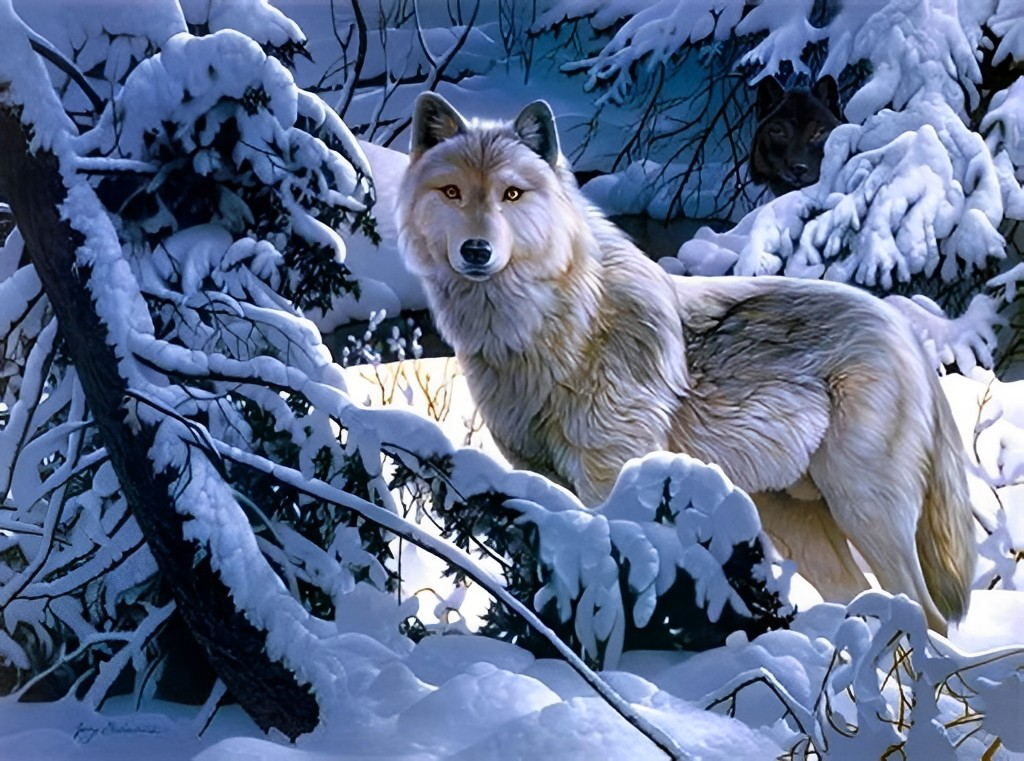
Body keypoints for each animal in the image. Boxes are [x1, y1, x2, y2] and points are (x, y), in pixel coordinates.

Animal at [396, 93, 976, 634]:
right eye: (452, 192)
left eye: (511, 194)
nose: (476, 250)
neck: (548, 329)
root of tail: (904, 329)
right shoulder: (539, 478)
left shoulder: (610, 476)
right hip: (797, 522)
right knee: (861, 597)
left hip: (863, 510)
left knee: (927, 613)